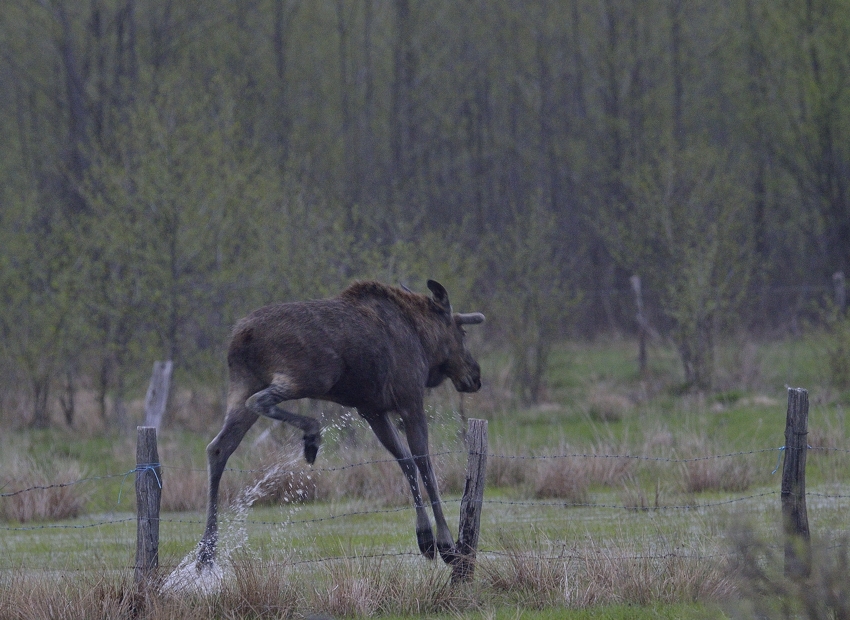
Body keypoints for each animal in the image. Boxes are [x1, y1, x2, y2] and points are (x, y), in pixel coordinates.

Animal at [195, 280, 480, 568]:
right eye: (462, 331)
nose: (476, 375)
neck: (424, 341)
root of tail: (242, 336)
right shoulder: (409, 399)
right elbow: (424, 466)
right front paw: (445, 543)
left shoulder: (372, 409)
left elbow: (407, 463)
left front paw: (425, 537)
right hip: (313, 375)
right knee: (259, 402)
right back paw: (311, 436)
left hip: (243, 383)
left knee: (218, 447)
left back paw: (206, 552)